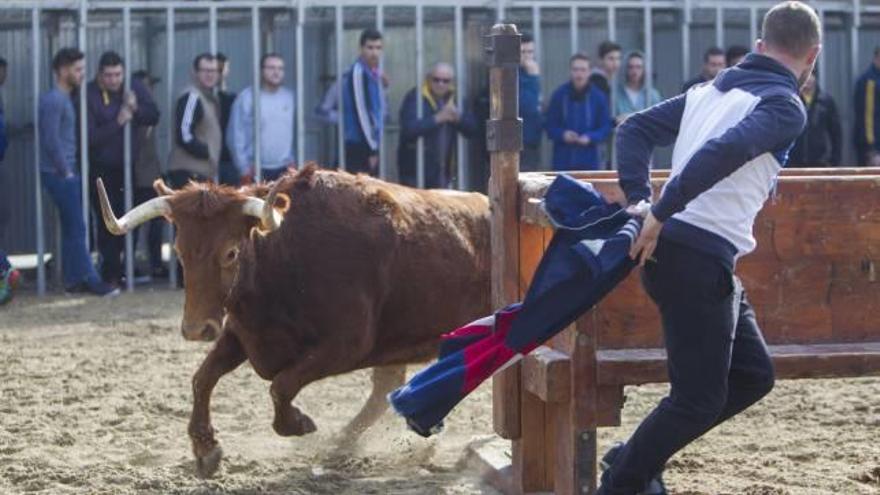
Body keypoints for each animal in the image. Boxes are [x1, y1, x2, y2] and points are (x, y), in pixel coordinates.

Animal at [101, 166, 496, 476]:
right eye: (180, 252)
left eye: (230, 253)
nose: (196, 329)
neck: (285, 256)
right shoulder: (242, 333)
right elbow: (203, 379)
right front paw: (205, 449)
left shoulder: (346, 345)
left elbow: (281, 385)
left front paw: (298, 424)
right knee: (384, 391)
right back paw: (342, 444)